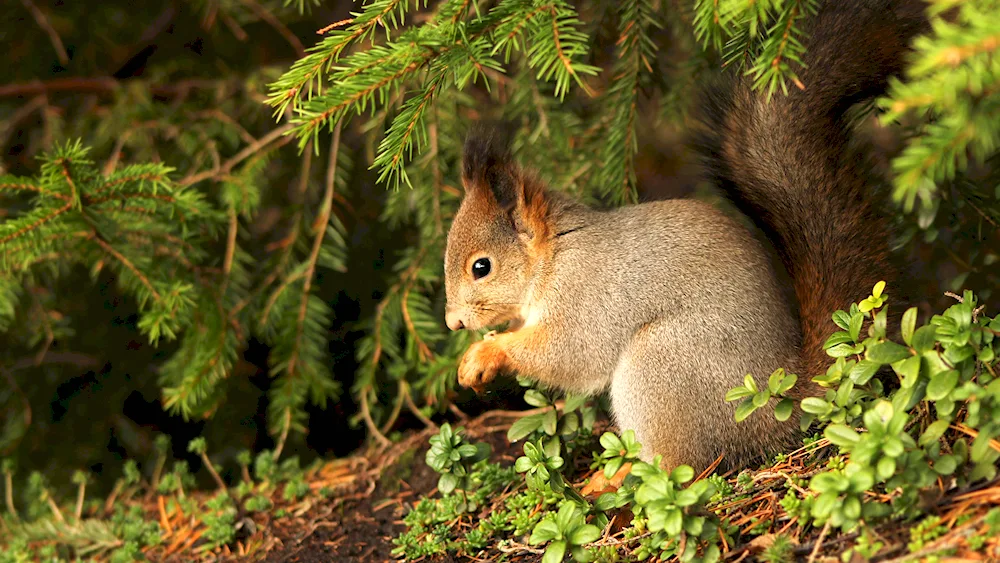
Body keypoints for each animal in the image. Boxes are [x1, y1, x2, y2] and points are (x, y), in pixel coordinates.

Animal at [442, 0, 924, 472]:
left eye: (481, 267)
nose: (453, 324)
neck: (555, 257)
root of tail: (775, 401)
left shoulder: (586, 296)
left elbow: (569, 353)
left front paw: (486, 354)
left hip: (662, 364)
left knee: (680, 467)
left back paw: (613, 481)